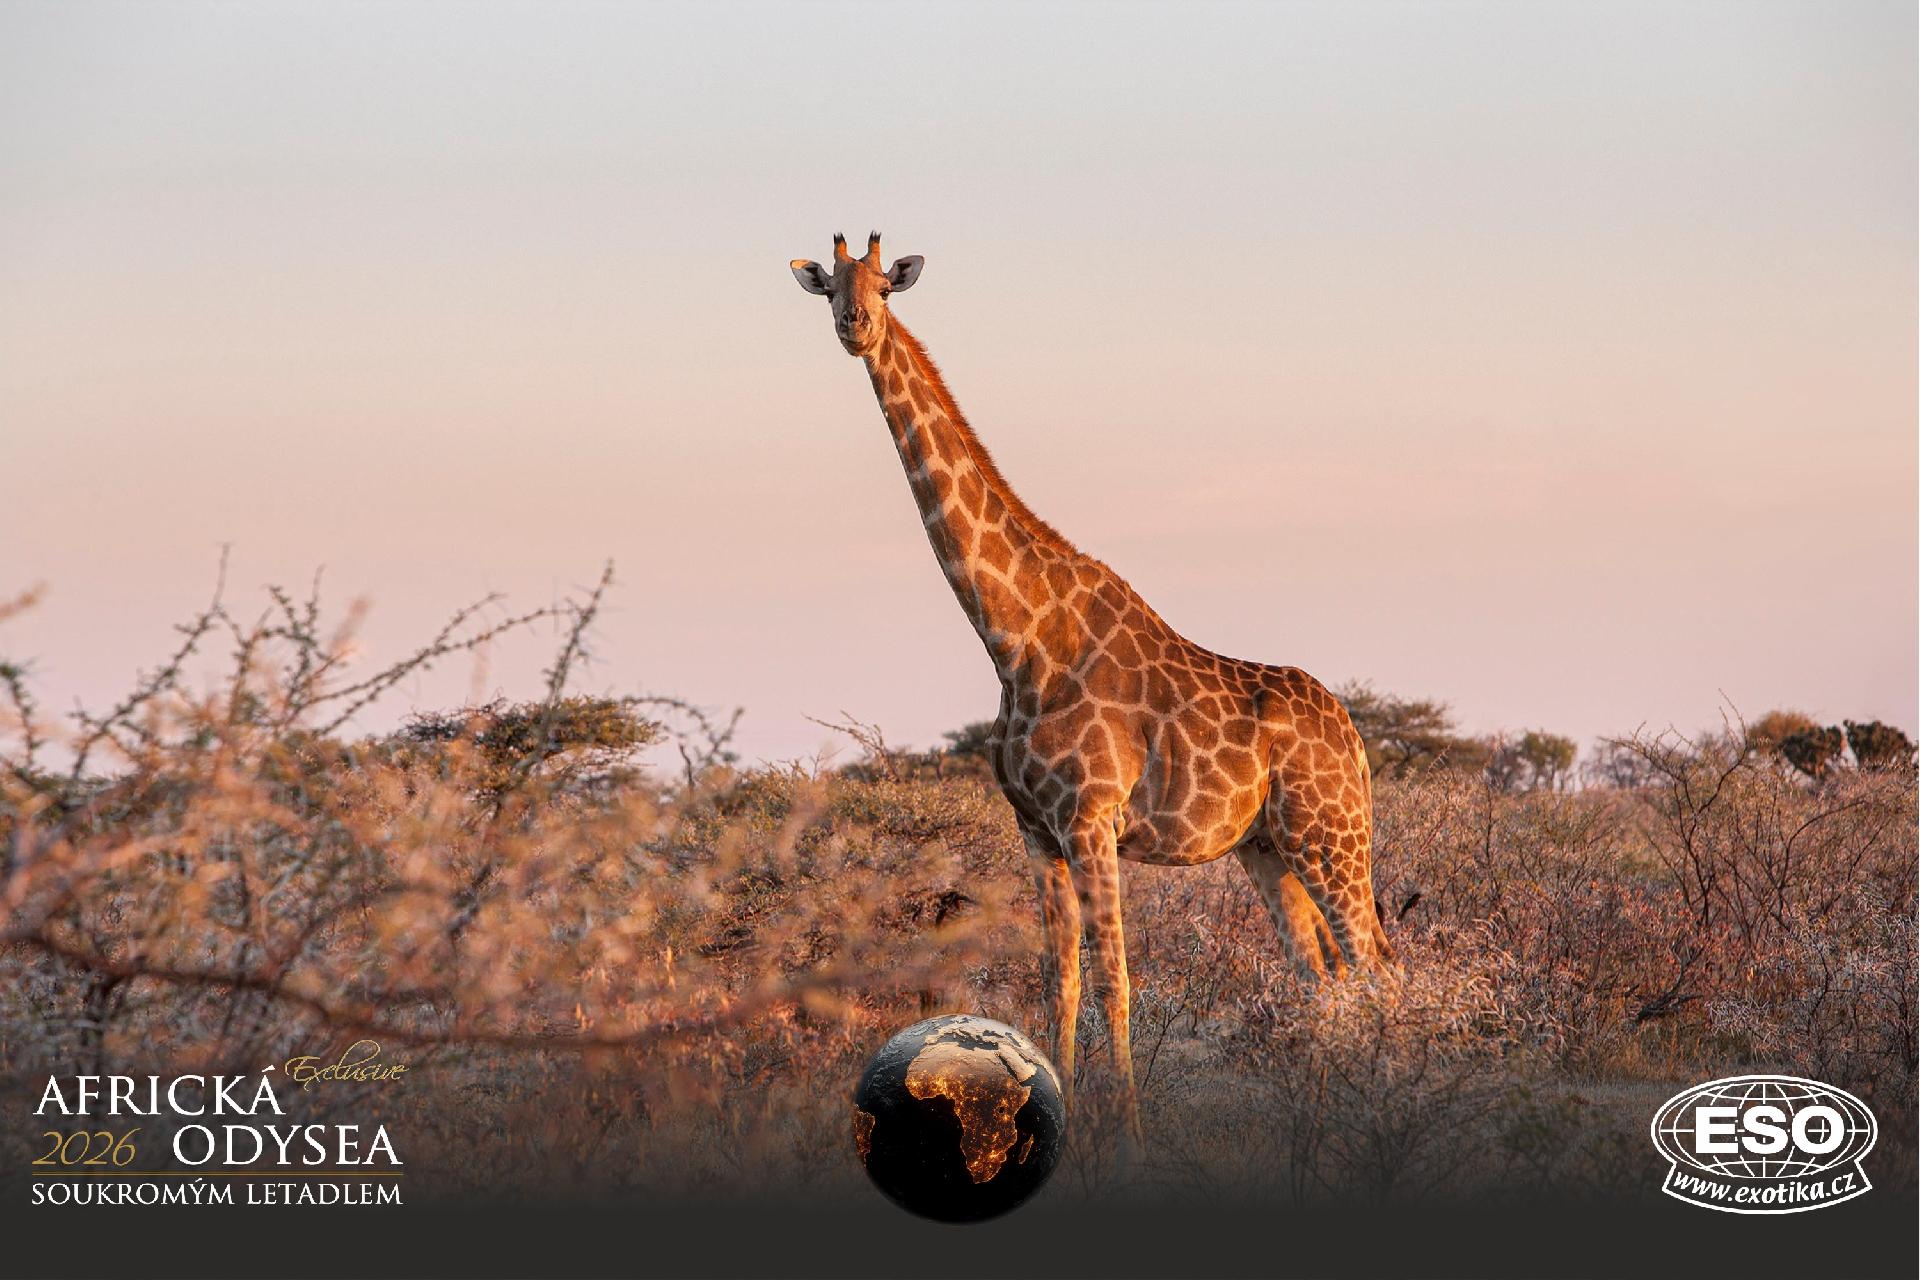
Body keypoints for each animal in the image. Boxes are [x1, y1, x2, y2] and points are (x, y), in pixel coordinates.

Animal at [790, 232, 1393, 1141]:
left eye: (885, 286)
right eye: (830, 285)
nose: (855, 327)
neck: (1016, 638)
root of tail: (1354, 739)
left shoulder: (1092, 820)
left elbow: (1115, 979)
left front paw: (1133, 1135)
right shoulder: (1037, 830)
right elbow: (1059, 982)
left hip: (1330, 836)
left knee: (1378, 967)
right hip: (1267, 847)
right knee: (1320, 975)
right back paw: (1320, 1124)